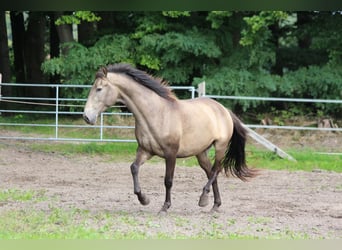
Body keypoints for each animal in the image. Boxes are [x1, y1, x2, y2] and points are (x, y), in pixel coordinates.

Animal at [83, 63, 256, 213]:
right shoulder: (145, 150)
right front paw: (144, 199)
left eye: (99, 89)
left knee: (215, 171)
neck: (156, 114)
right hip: (201, 152)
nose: (86, 117)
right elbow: (134, 168)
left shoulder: (170, 153)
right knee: (210, 172)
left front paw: (165, 207)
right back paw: (215, 205)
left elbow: (168, 180)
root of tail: (224, 110)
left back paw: (203, 199)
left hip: (220, 147)